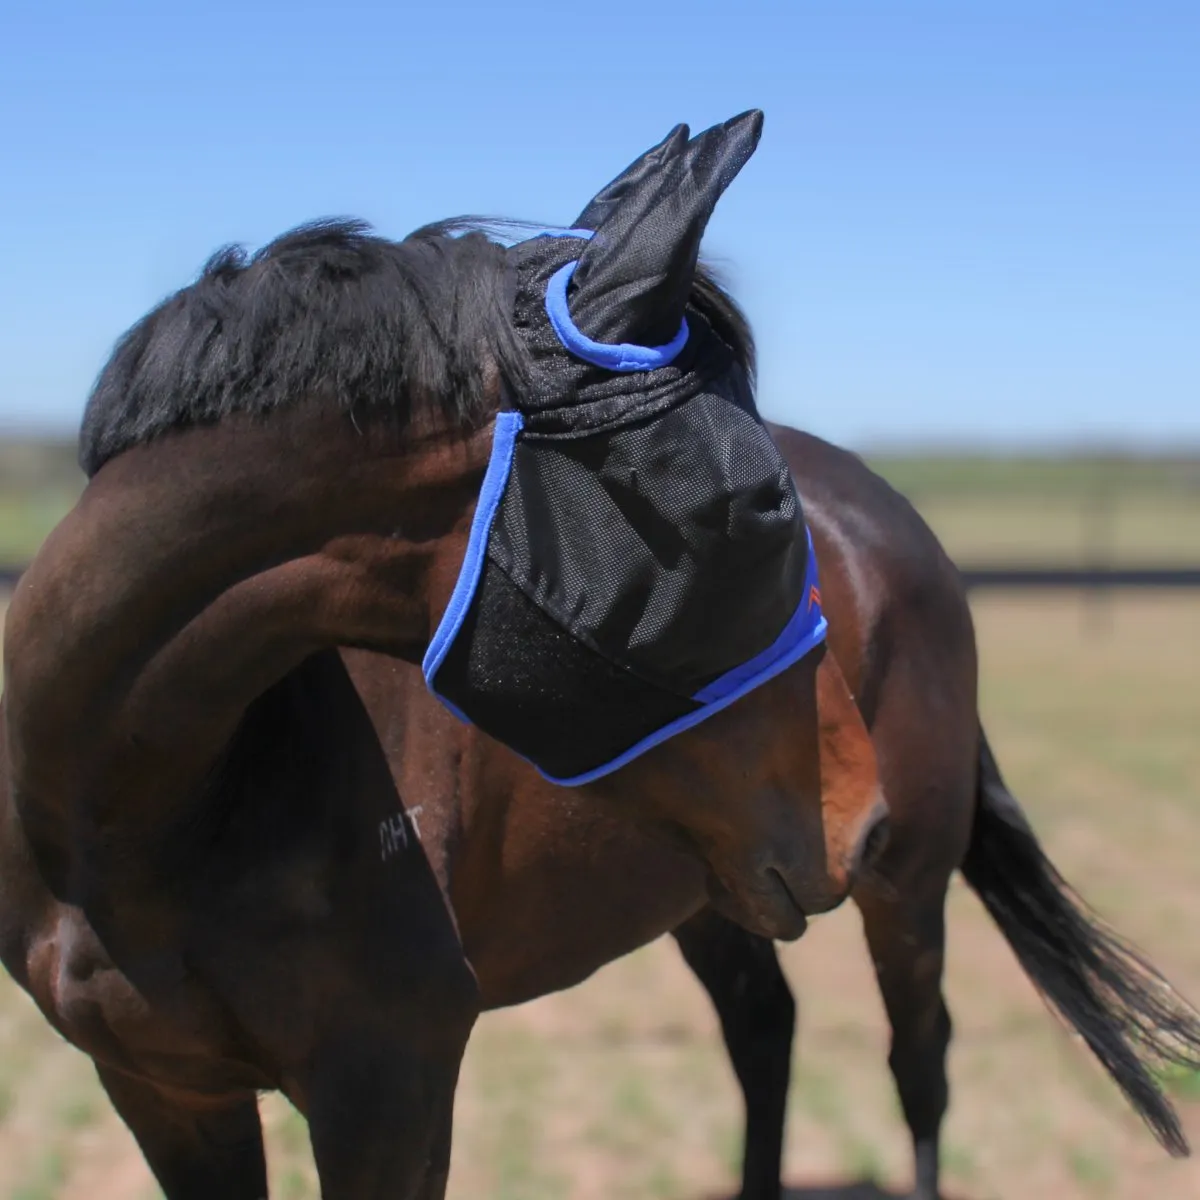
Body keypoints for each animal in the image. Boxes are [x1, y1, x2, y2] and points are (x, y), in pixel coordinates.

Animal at [0, 112, 883, 1200]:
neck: (132, 818)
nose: (860, 819)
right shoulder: (165, 1092)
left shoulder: (391, 1085)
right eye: (754, 508)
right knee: (764, 1028)